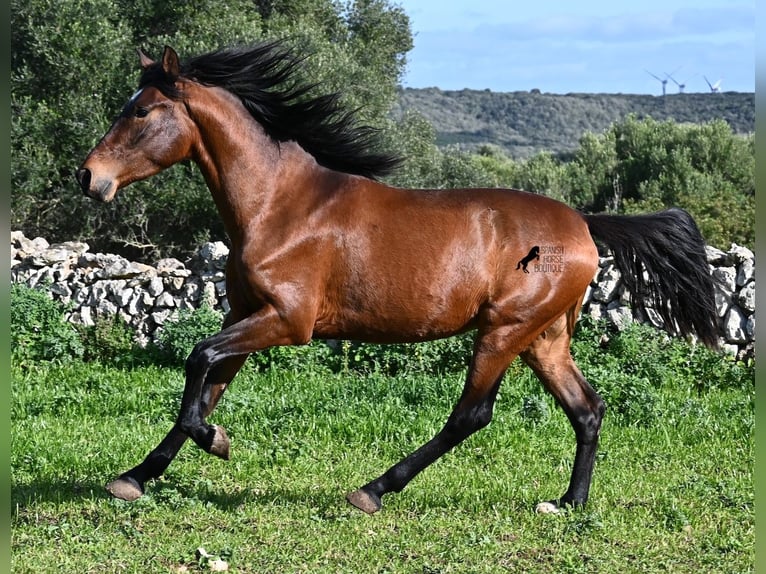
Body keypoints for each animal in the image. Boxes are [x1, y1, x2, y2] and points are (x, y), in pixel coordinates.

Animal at [76, 41, 720, 516]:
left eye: (140, 111)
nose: (88, 177)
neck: (279, 205)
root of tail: (585, 225)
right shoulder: (247, 314)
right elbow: (206, 384)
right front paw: (135, 477)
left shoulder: (287, 321)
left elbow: (198, 361)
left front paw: (217, 443)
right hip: (544, 337)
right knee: (587, 408)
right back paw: (569, 503)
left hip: (504, 330)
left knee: (472, 415)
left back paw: (372, 491)